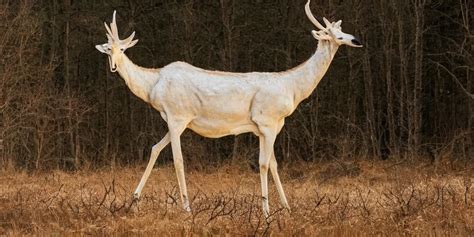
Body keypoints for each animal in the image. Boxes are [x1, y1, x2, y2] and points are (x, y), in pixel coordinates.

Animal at [94, 0, 362, 216]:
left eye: (342, 31)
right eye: (335, 35)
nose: (355, 40)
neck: (293, 89)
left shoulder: (269, 127)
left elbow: (274, 165)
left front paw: (287, 208)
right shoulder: (266, 122)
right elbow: (263, 164)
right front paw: (266, 212)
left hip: (179, 122)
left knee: (156, 149)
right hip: (178, 118)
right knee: (177, 160)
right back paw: (186, 207)